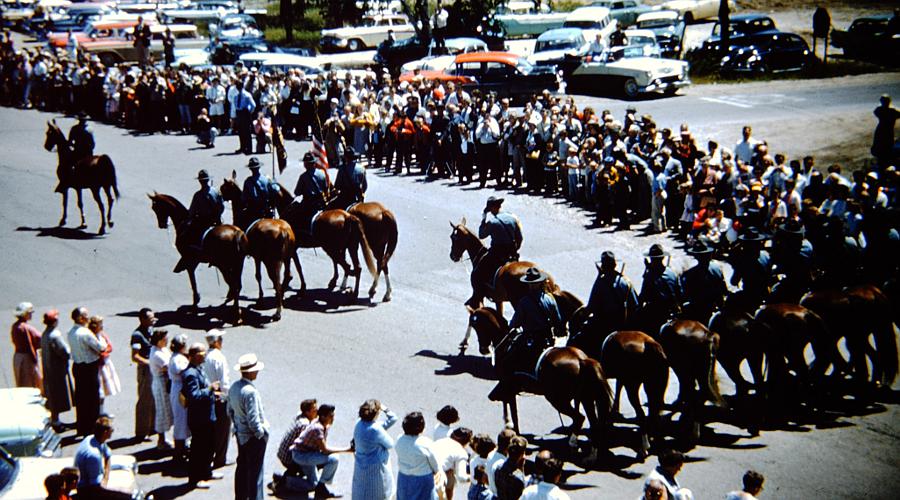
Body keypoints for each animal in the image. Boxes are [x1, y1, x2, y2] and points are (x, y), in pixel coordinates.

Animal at [148, 191, 248, 324]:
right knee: (237, 285)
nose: (161, 225)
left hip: (224, 266)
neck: (184, 222)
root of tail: (236, 232)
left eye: (155, 207)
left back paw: (236, 313)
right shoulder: (194, 261)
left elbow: (192, 281)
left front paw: (195, 302)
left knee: (234, 285)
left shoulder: (188, 260)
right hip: (238, 264)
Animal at [220, 176, 300, 322]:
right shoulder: (258, 257)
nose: (220, 197)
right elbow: (259, 275)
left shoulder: (249, 257)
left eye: (223, 188)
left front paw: (260, 299)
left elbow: (257, 276)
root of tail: (283, 230)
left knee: (276, 280)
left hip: (272, 261)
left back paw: (278, 310)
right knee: (287, 276)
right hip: (286, 258)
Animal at [464, 306, 612, 456]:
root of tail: (581, 359)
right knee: (593, 422)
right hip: (585, 398)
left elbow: (512, 411)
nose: (483, 349)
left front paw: (512, 429)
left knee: (579, 418)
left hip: (558, 400)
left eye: (476, 326)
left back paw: (572, 443)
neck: (507, 344)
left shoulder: (508, 387)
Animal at [596, 330, 668, 458]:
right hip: (652, 387)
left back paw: (644, 447)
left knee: (641, 414)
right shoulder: (621, 378)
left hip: (632, 387)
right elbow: (618, 390)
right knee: (653, 413)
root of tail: (649, 343)